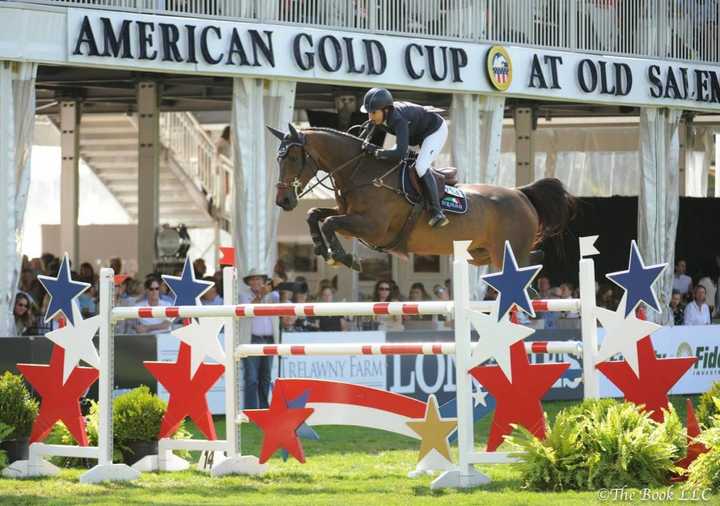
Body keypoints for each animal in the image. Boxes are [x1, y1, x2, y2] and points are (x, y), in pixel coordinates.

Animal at [268, 124, 576, 270]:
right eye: (278, 158)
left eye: (293, 157)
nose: (283, 201)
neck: (360, 171)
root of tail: (520, 194)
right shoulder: (350, 217)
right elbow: (316, 215)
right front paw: (323, 249)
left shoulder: (373, 228)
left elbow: (331, 222)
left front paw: (343, 258)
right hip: (482, 253)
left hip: (507, 252)